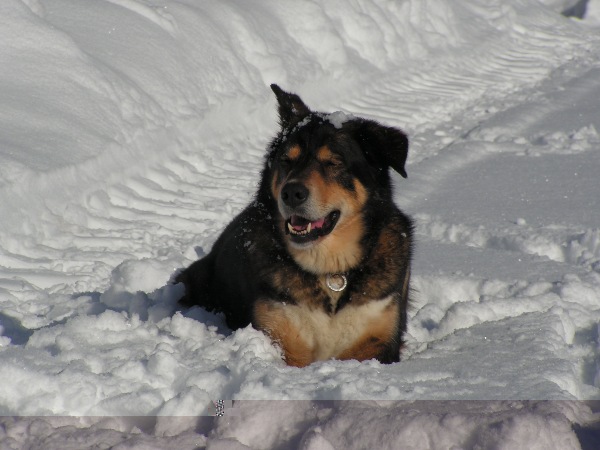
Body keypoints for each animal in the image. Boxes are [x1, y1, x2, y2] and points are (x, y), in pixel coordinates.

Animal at [176, 84, 414, 366]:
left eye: (333, 162)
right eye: (286, 161)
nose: (291, 193)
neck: (329, 271)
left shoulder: (377, 341)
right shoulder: (281, 337)